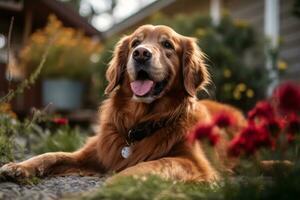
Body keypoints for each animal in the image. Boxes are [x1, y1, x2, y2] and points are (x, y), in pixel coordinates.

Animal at [0, 24, 246, 183]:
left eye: (167, 44)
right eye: (135, 42)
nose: (141, 53)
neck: (138, 122)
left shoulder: (195, 162)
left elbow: (155, 163)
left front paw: (123, 178)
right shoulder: (95, 153)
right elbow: (53, 155)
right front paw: (19, 166)